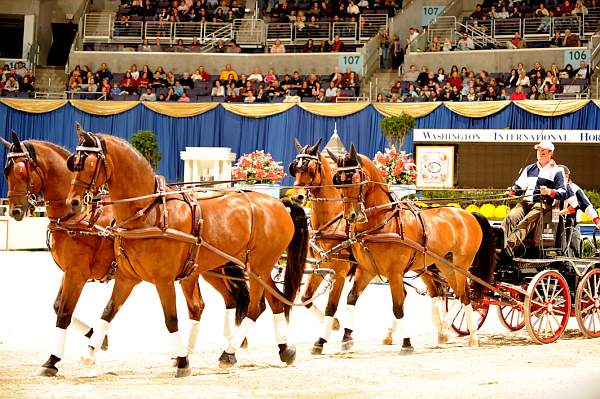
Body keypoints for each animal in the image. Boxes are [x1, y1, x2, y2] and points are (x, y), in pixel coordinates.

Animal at [0, 132, 247, 378]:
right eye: (6, 172)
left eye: (21, 171)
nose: (15, 210)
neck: (78, 218)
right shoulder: (72, 273)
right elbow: (59, 306)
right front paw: (97, 339)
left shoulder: (76, 273)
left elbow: (64, 312)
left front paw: (53, 361)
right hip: (206, 270)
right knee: (214, 302)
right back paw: (218, 350)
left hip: (209, 268)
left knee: (221, 301)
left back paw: (225, 349)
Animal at [66, 131, 310, 378]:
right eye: (73, 163)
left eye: (89, 164)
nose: (73, 202)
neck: (150, 212)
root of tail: (279, 202)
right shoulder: (127, 278)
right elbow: (108, 312)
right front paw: (87, 354)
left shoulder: (163, 281)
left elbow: (171, 319)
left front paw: (183, 361)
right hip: (248, 268)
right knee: (274, 303)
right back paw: (284, 350)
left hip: (257, 268)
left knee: (255, 308)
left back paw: (228, 354)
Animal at [326, 147, 494, 350]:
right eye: (338, 182)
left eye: (357, 178)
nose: (350, 215)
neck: (383, 222)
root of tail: (468, 214)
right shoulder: (366, 269)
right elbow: (352, 298)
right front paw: (346, 338)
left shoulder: (394, 272)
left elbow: (398, 306)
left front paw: (406, 343)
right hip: (445, 264)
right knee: (457, 294)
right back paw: (445, 331)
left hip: (461, 265)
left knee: (465, 296)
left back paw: (470, 337)